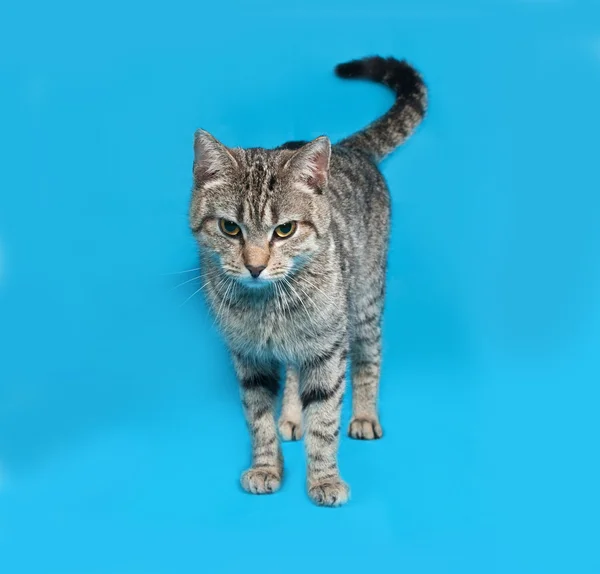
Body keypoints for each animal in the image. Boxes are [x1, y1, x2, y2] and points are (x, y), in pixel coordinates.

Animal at [189, 55, 426, 508]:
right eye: (230, 228)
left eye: (285, 230)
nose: (255, 266)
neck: (267, 306)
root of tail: (349, 148)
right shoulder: (248, 356)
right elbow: (257, 418)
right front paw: (267, 466)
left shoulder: (329, 350)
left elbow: (325, 420)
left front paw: (324, 479)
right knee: (294, 371)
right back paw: (290, 417)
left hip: (365, 299)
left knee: (370, 354)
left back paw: (364, 415)